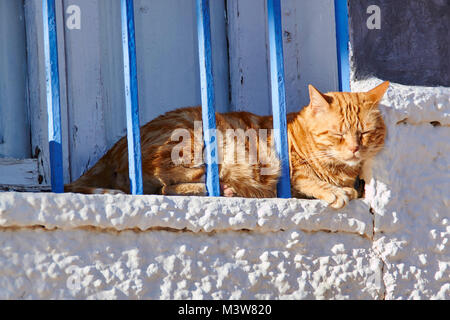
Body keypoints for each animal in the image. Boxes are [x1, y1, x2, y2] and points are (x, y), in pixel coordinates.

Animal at [65, 81, 388, 209]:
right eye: (338, 134)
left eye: (365, 133)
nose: (354, 149)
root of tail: (113, 151)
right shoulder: (284, 170)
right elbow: (307, 178)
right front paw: (334, 190)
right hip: (199, 143)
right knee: (168, 187)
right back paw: (228, 188)